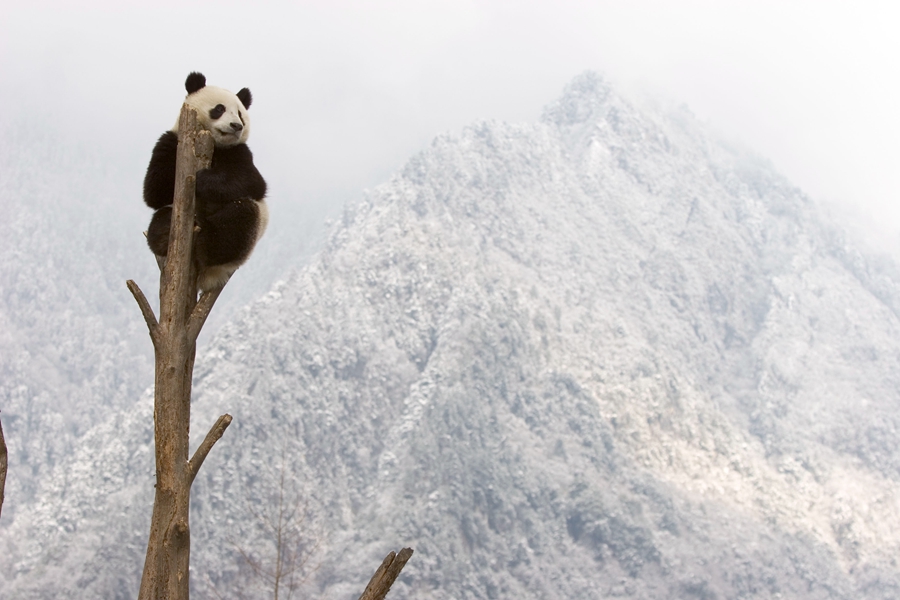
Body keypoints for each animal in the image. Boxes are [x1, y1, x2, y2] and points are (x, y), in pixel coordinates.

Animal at [144, 71, 268, 292]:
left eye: (240, 114)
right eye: (219, 109)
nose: (237, 126)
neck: (215, 144)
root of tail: (208, 278)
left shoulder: (239, 152)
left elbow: (252, 182)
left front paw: (202, 180)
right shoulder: (171, 140)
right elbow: (154, 191)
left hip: (248, 235)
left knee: (238, 220)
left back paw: (206, 243)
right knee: (161, 217)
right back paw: (164, 233)